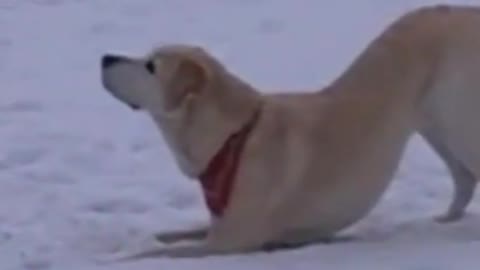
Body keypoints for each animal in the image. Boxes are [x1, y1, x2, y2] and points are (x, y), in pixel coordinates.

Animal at [100, 5, 476, 260]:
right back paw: (447, 219)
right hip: (434, 126)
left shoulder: (231, 241)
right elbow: (170, 236)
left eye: (151, 66)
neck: (233, 136)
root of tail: (462, 11)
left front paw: (122, 256)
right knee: (465, 179)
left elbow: (157, 253)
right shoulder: (219, 227)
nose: (105, 57)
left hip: (455, 122)